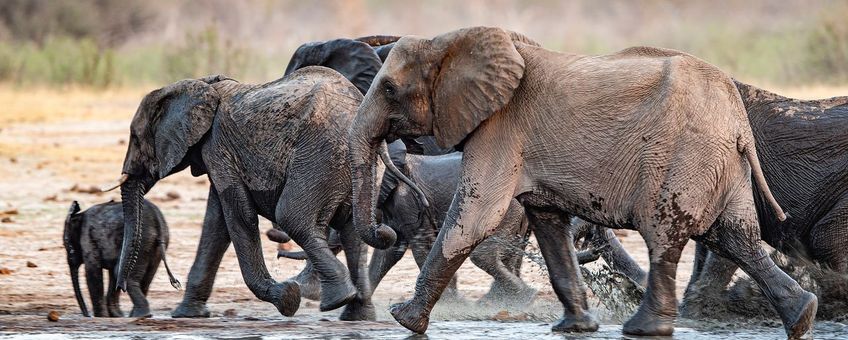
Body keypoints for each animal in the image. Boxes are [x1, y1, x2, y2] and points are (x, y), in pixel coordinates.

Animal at [105, 67, 424, 320]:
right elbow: (217, 222)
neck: (200, 84)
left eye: (135, 137)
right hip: (355, 165)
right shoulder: (216, 153)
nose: (121, 288)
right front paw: (186, 315)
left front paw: (287, 299)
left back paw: (335, 301)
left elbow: (238, 214)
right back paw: (357, 314)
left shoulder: (217, 145)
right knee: (351, 230)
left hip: (320, 154)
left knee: (292, 216)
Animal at [344, 27, 816, 338]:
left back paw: (644, 329)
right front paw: (575, 327)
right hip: (721, 164)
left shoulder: (501, 129)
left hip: (682, 155)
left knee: (665, 234)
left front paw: (404, 319)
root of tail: (738, 122)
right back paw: (803, 317)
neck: (449, 42)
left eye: (388, 89)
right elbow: (548, 224)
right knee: (735, 237)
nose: (384, 230)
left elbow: (475, 217)